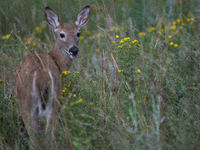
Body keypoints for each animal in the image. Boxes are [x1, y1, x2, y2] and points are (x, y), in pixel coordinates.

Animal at [15, 5, 90, 142]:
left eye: (78, 33)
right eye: (62, 34)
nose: (74, 50)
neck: (56, 60)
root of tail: (41, 76)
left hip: (31, 104)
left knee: (37, 135)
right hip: (52, 98)